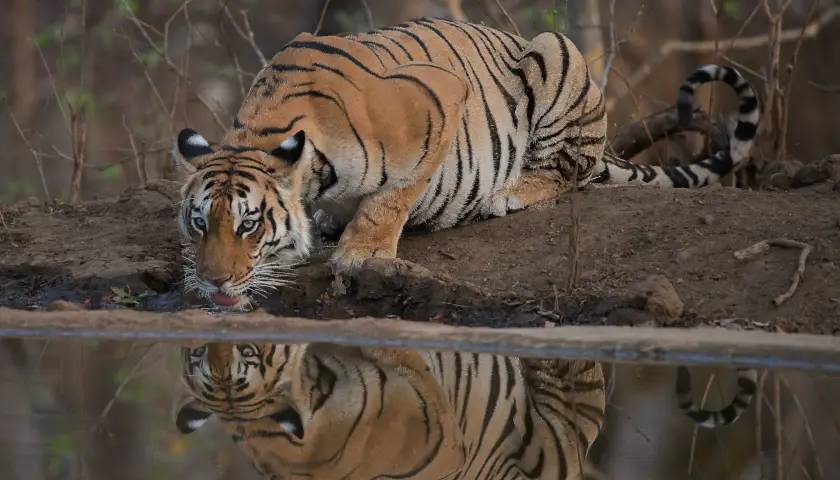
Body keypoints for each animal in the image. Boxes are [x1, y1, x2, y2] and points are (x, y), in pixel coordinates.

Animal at [176, 18, 760, 308]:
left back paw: (509, 192)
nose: (212, 282)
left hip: (557, 53)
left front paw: (359, 253)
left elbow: (391, 199)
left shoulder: (438, 98)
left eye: (249, 224)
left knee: (571, 171)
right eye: (199, 222)